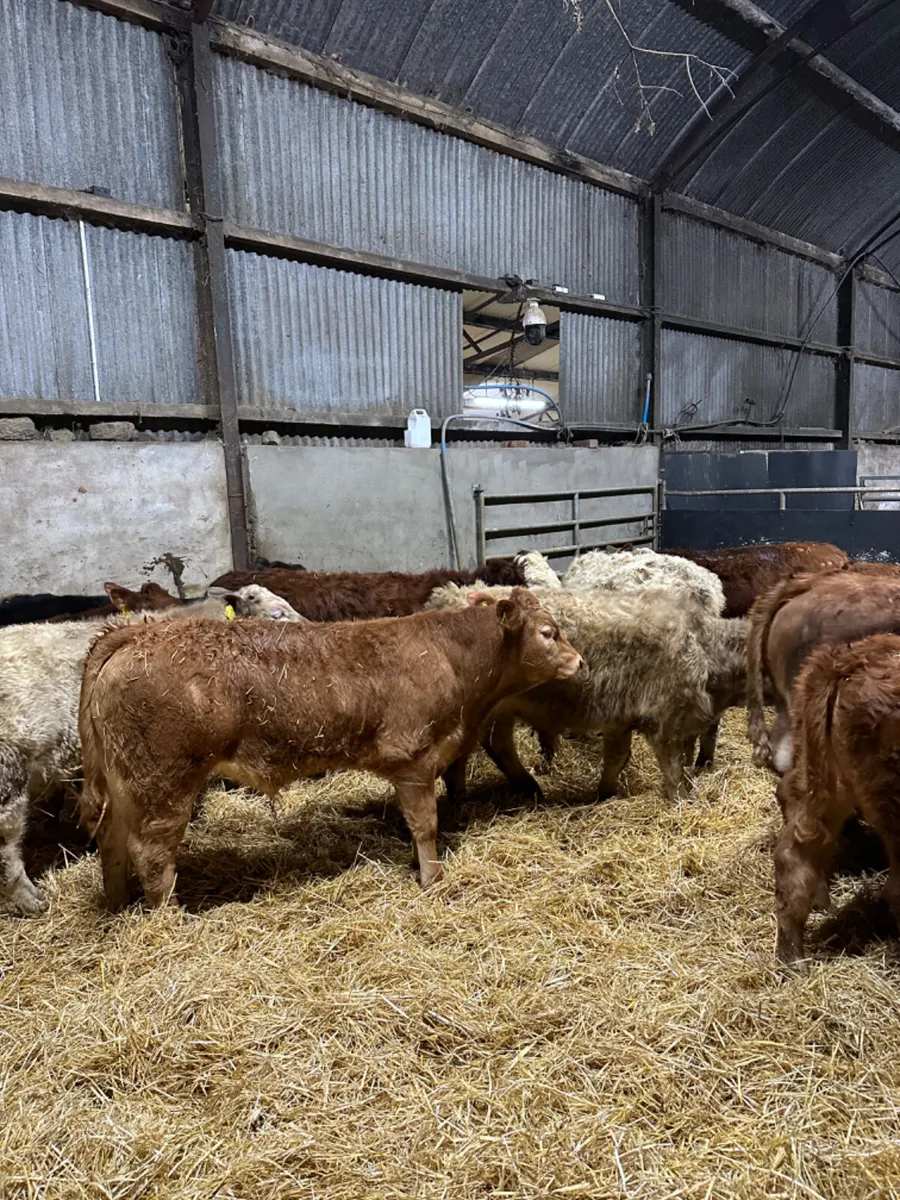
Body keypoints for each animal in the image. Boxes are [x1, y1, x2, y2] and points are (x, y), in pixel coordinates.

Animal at [77, 589, 581, 910]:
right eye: (548, 632)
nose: (579, 660)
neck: (452, 658)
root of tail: (136, 634)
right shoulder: (414, 760)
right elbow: (425, 826)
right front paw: (432, 880)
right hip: (164, 781)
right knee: (151, 853)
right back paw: (170, 919)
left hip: (128, 782)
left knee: (111, 840)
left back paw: (117, 904)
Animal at [427, 584, 748, 803]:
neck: (703, 645)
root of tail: (448, 594)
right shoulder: (665, 719)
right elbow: (672, 766)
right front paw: (681, 798)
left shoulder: (622, 717)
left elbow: (618, 756)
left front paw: (605, 792)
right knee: (465, 756)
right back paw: (463, 800)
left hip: (502, 709)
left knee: (498, 744)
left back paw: (525, 787)